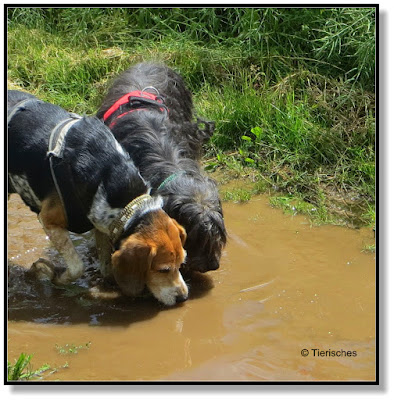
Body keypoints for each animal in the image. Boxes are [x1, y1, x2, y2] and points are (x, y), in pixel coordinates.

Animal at [7, 89, 189, 304]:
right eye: (163, 270)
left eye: (181, 263)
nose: (183, 297)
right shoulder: (49, 220)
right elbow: (77, 267)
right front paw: (52, 275)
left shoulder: (104, 224)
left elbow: (107, 268)